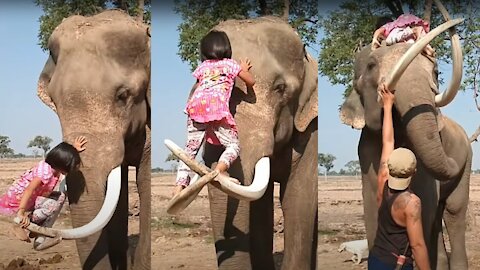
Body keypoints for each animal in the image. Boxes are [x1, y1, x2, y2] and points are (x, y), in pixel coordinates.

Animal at [340, 8, 470, 270]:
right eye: (371, 65)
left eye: (437, 73)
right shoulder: (366, 149)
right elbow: (373, 206)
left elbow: (426, 204)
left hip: (469, 160)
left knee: (453, 210)